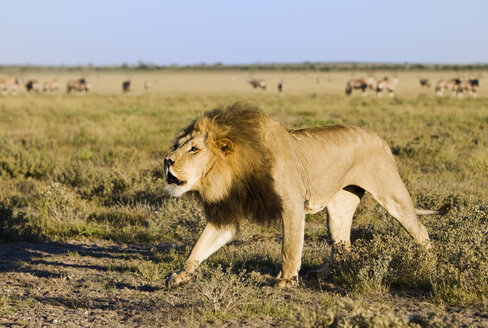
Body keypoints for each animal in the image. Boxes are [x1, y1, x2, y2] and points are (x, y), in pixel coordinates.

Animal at [165, 104, 450, 288]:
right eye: (177, 146)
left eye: (194, 149)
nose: (167, 160)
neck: (233, 174)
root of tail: (380, 138)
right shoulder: (226, 214)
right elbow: (200, 246)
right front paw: (180, 276)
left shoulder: (292, 204)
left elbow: (290, 247)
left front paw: (285, 280)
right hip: (339, 207)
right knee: (343, 245)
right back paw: (323, 274)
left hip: (392, 194)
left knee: (420, 229)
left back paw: (429, 266)